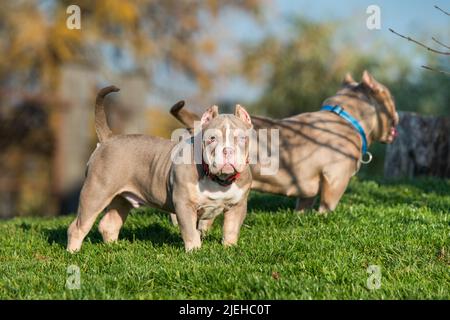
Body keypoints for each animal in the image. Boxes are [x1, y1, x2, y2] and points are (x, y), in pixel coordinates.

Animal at [67, 85, 253, 252]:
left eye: (242, 138)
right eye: (212, 138)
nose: (227, 150)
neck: (218, 180)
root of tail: (109, 138)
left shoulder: (238, 206)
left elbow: (231, 229)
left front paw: (229, 248)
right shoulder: (184, 205)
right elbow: (191, 232)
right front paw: (195, 251)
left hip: (121, 199)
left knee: (110, 223)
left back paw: (115, 248)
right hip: (96, 193)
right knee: (78, 226)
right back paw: (73, 252)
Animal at [168, 71, 398, 214]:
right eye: (390, 97)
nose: (397, 115)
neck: (346, 116)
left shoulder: (307, 189)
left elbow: (303, 205)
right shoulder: (335, 180)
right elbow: (327, 206)